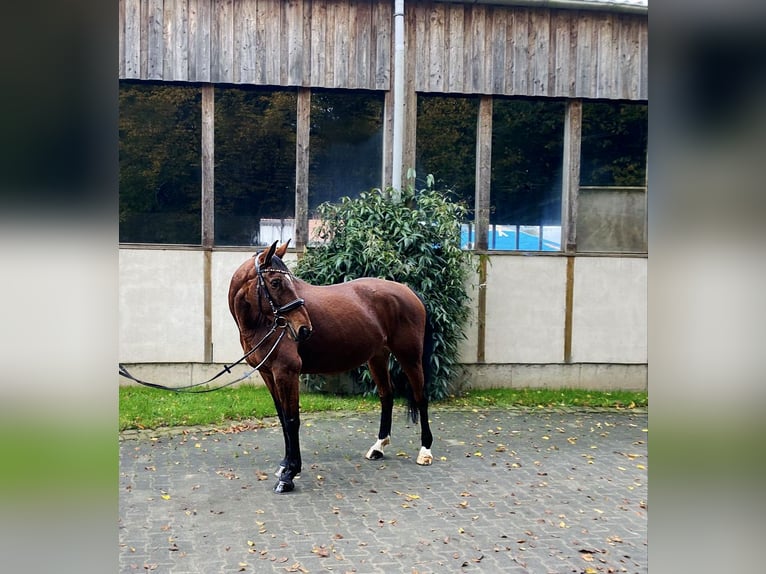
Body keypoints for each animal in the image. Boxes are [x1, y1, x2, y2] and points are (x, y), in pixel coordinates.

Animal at [228, 241, 436, 492]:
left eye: (289, 281)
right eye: (276, 282)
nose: (304, 329)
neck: (262, 324)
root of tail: (409, 292)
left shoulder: (286, 373)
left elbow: (292, 420)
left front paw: (289, 475)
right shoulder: (268, 373)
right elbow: (282, 418)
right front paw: (285, 465)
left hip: (410, 357)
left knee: (420, 397)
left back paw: (425, 451)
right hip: (377, 357)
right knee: (387, 396)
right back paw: (378, 447)